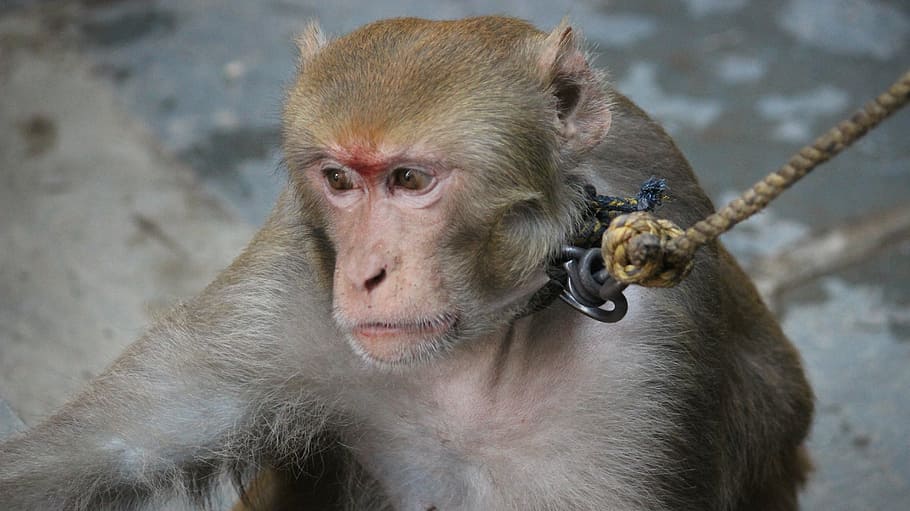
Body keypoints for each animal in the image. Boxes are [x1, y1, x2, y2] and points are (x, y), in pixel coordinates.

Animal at [0, 16, 813, 511]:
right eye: (340, 179)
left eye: (411, 180)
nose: (363, 275)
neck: (484, 342)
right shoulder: (289, 284)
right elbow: (98, 452)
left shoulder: (648, 366)